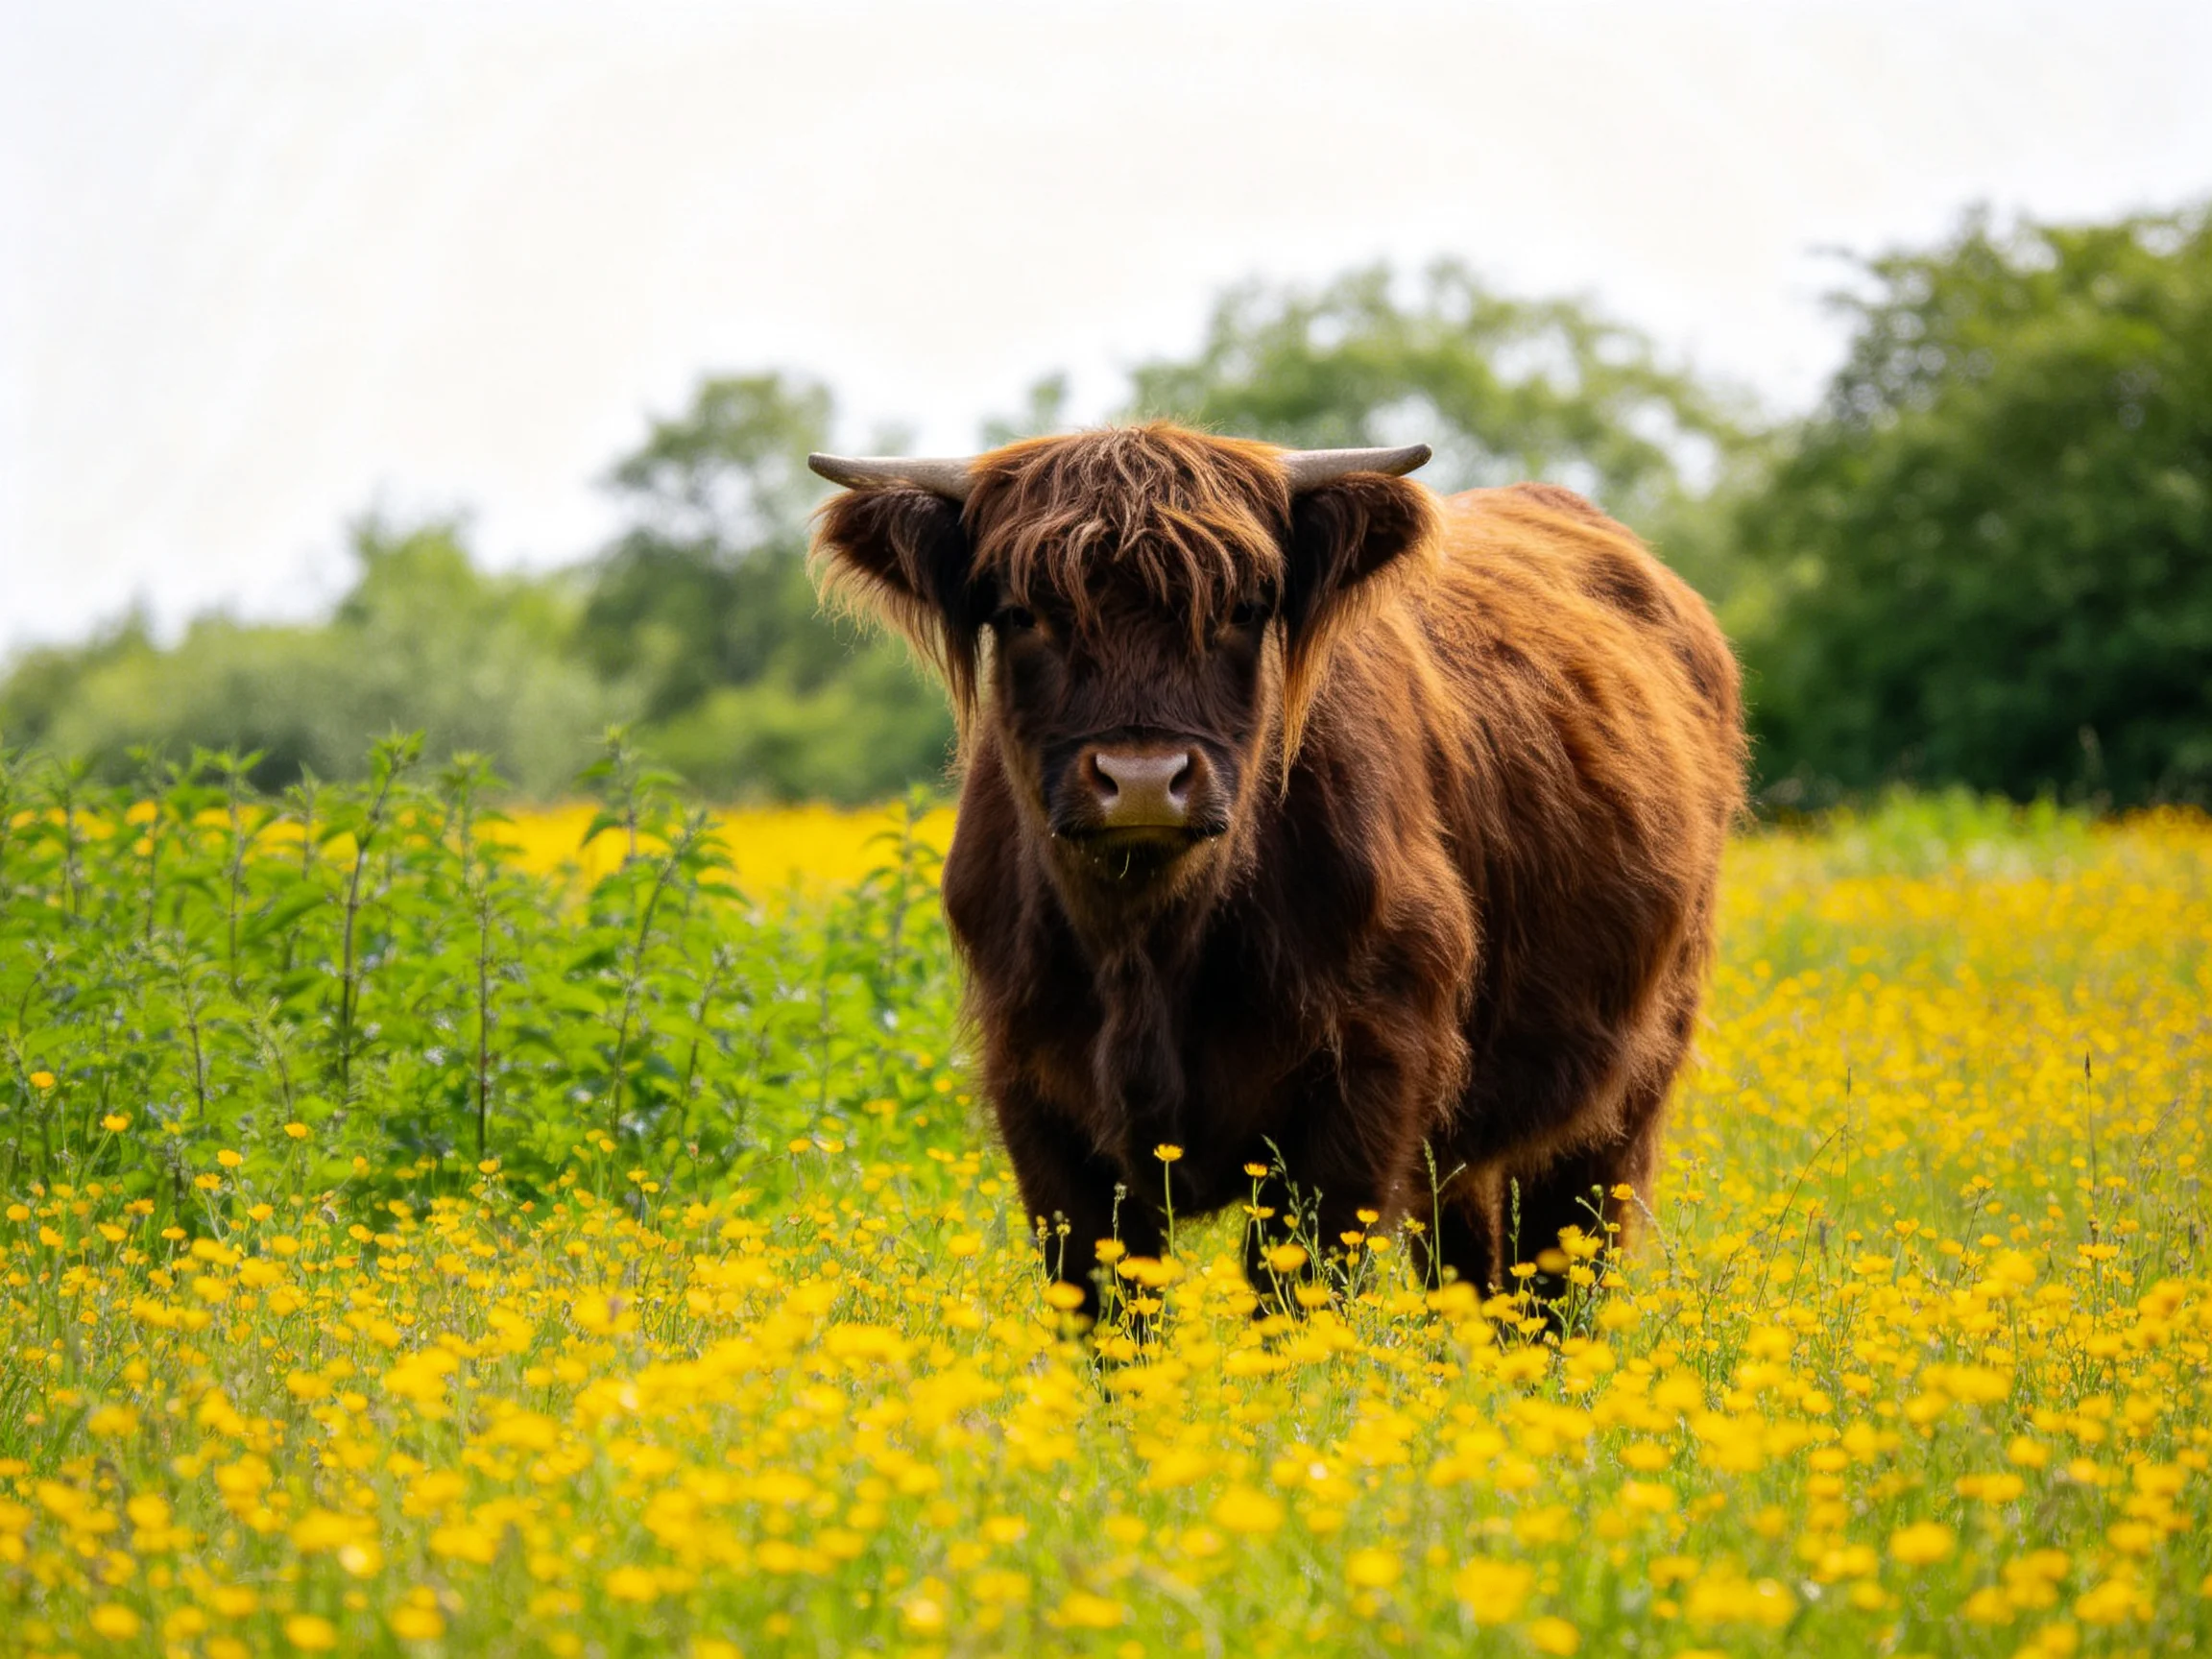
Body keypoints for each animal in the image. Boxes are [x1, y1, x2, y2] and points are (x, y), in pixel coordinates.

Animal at [809, 425, 1743, 1315]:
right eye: (1021, 612)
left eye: (1243, 609)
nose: (1142, 778)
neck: (1146, 947)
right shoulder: (1034, 1089)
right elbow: (1105, 1302)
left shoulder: (1368, 1078)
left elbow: (1297, 1291)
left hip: (1626, 1083)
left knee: (1566, 1270)